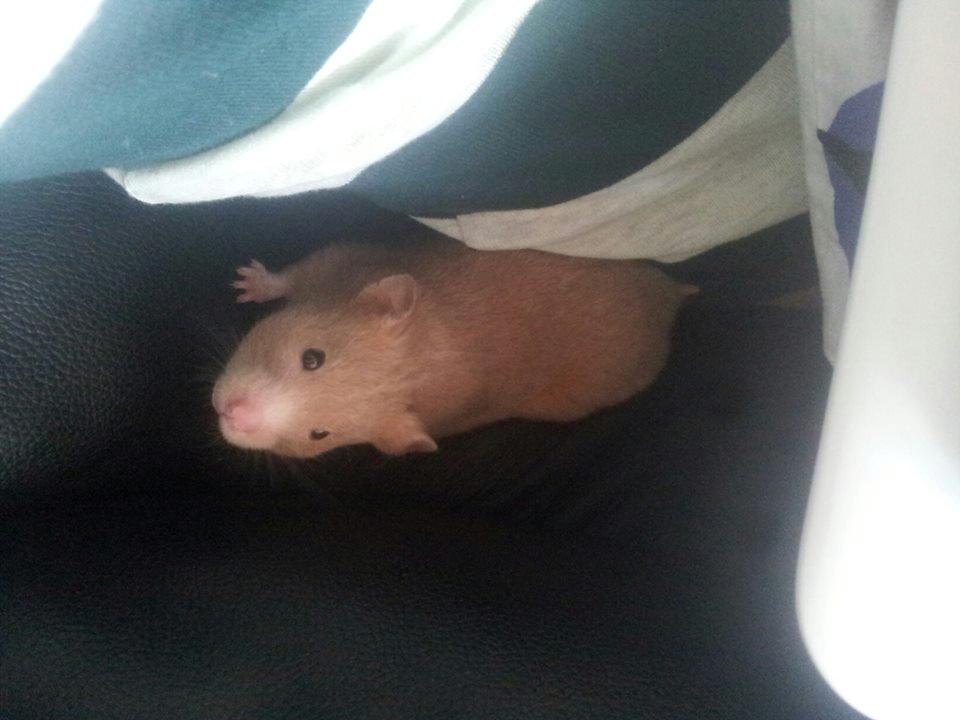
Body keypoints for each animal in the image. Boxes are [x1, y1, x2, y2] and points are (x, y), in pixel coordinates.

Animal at [212, 237, 697, 458]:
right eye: (313, 358)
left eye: (320, 434)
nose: (230, 414)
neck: (424, 359)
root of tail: (670, 294)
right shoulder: (348, 261)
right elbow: (295, 271)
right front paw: (248, 281)